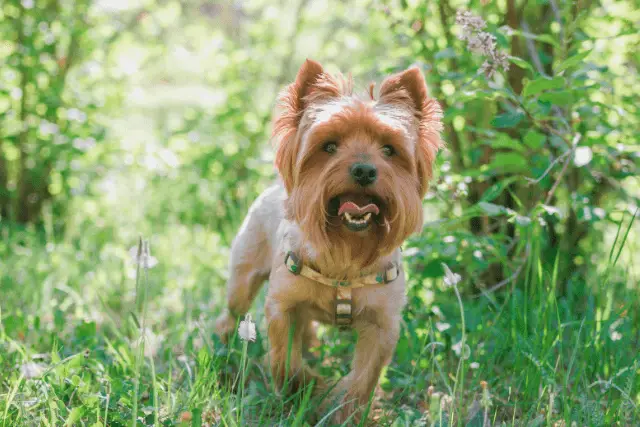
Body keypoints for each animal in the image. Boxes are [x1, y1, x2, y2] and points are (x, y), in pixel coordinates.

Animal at [218, 60, 442, 424]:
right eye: (329, 146)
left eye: (389, 150)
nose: (364, 170)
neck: (346, 255)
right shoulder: (282, 306)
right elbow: (284, 360)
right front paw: (306, 387)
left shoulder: (383, 325)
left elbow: (364, 377)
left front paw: (346, 409)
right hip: (243, 277)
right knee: (232, 311)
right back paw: (221, 345)